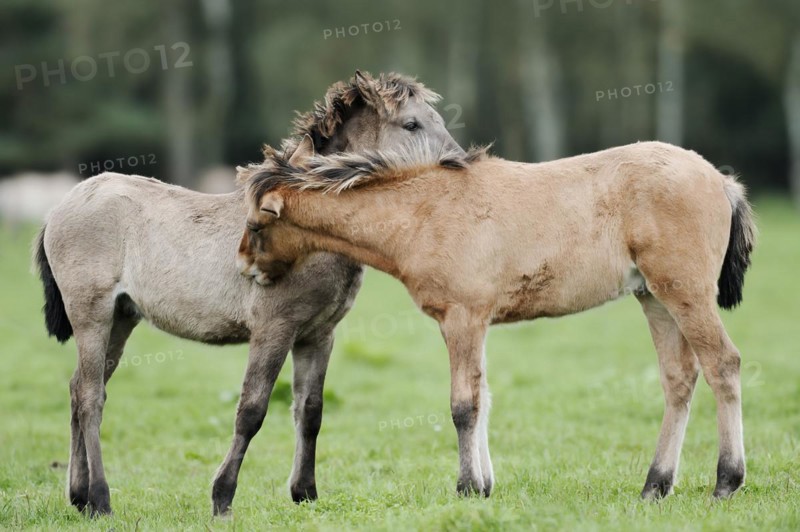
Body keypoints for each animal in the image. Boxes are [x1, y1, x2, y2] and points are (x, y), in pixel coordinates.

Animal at [33, 71, 464, 516]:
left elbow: (310, 411)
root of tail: (59, 208)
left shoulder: (318, 335)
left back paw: (79, 495)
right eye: (411, 124)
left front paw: (305, 493)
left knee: (78, 389)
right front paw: (222, 497)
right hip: (92, 314)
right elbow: (252, 411)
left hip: (121, 318)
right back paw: (100, 498)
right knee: (90, 396)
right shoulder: (273, 328)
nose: (460, 164)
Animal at [238, 137, 755, 500]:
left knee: (723, 365)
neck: (422, 213)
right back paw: (655, 486)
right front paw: (485, 486)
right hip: (654, 298)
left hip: (685, 293)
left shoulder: (462, 317)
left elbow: (464, 405)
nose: (245, 267)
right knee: (679, 379)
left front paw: (467, 488)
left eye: (255, 224)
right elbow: (482, 397)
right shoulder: (476, 321)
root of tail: (721, 180)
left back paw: (726, 481)